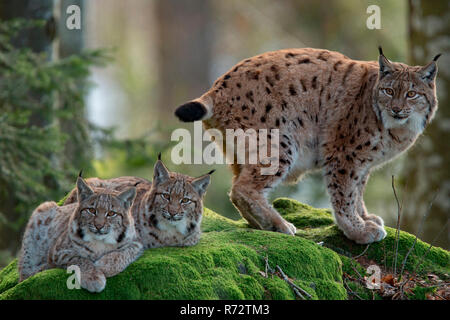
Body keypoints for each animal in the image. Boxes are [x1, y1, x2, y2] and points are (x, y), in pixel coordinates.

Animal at [175, 47, 440, 242]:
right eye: (388, 91)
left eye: (411, 94)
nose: (396, 109)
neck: (396, 126)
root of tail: (216, 86)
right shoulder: (344, 154)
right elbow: (344, 194)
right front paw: (357, 230)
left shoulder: (363, 162)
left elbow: (357, 191)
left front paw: (365, 218)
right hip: (281, 141)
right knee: (243, 188)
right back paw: (279, 224)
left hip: (240, 151)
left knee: (237, 188)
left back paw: (261, 224)